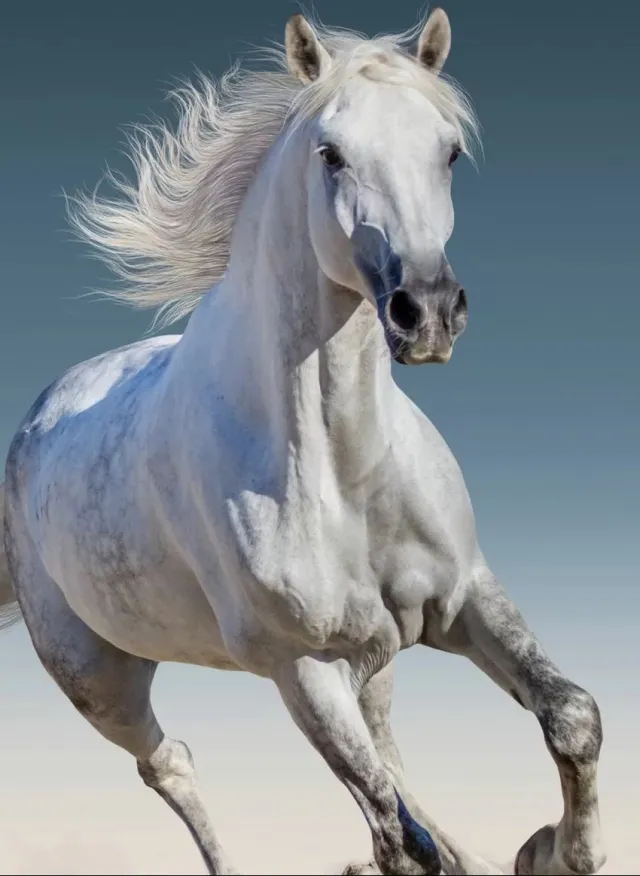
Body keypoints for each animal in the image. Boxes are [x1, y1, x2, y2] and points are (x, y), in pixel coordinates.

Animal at [0, 10, 605, 875]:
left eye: (449, 150)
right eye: (331, 153)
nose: (427, 311)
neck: (342, 466)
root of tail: (39, 417)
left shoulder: (462, 597)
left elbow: (571, 715)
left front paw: (557, 850)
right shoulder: (302, 668)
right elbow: (392, 834)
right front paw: (542, 849)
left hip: (373, 653)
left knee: (387, 747)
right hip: (98, 679)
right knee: (170, 763)